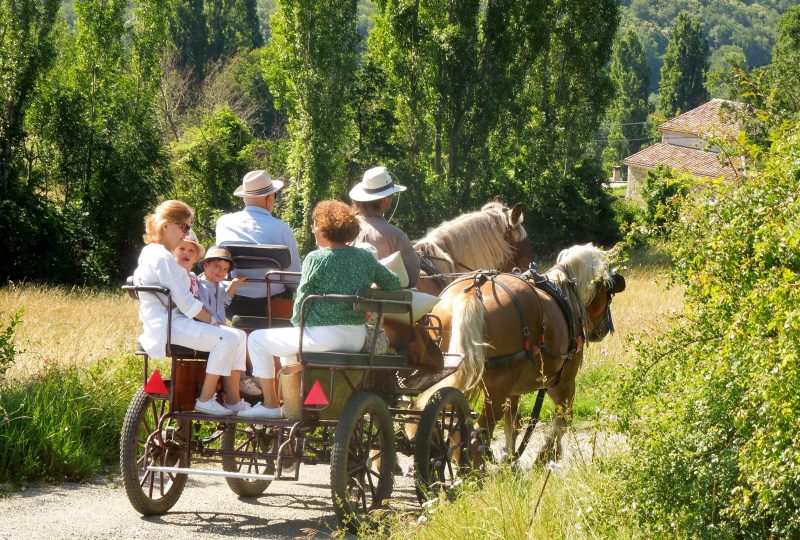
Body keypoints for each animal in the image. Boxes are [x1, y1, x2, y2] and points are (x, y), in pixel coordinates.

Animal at [416, 245, 628, 464]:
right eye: (609, 293)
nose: (604, 329)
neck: (566, 296)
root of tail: (474, 290)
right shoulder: (562, 381)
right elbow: (564, 418)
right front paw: (547, 455)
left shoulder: (514, 390)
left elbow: (513, 425)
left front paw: (509, 458)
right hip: (497, 388)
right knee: (481, 431)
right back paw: (475, 469)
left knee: (453, 421)